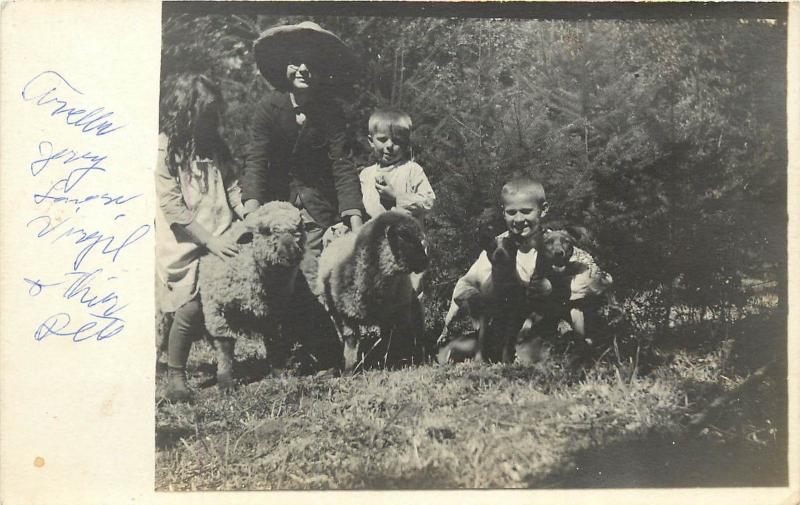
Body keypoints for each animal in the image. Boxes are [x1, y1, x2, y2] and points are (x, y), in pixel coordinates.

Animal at [318, 211, 432, 372]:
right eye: (403, 236)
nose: (425, 261)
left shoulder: (394, 314)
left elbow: (392, 338)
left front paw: (394, 361)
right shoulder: (345, 316)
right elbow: (351, 341)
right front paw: (349, 369)